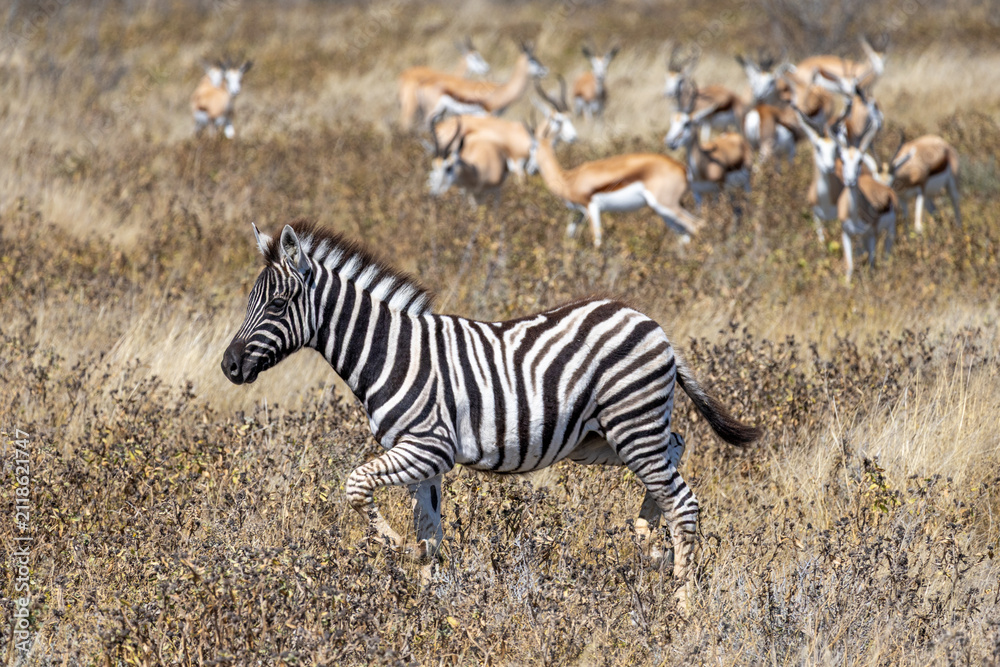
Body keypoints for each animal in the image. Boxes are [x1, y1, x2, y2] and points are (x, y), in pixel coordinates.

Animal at [221, 220, 762, 612]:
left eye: (278, 303)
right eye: (250, 300)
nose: (229, 367)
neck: (390, 352)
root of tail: (655, 325)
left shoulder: (426, 446)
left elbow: (356, 486)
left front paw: (394, 546)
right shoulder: (426, 462)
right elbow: (430, 534)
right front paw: (431, 611)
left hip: (631, 425)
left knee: (683, 501)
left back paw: (684, 606)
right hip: (609, 436)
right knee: (674, 456)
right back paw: (649, 540)